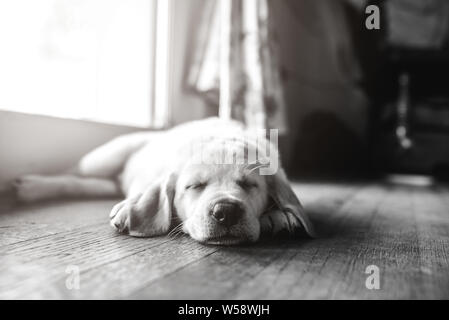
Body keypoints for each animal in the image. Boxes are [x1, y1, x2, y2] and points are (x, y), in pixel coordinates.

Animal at [14, 117, 316, 245]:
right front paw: (133, 208)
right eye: (194, 186)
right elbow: (148, 194)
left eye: (249, 185)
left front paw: (278, 217)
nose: (226, 212)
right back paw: (31, 185)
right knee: (76, 173)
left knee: (101, 185)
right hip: (104, 156)